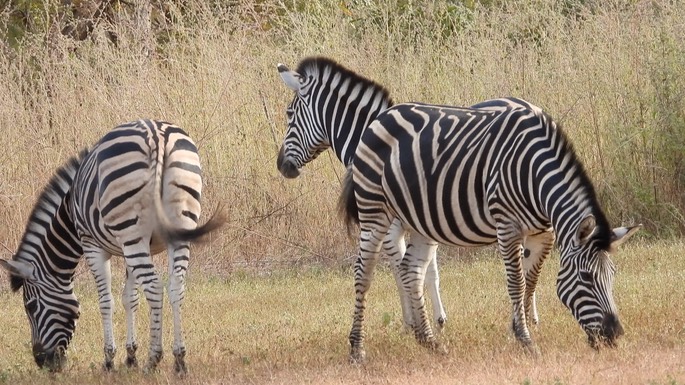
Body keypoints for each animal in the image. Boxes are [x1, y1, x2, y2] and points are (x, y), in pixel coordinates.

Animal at [0, 119, 223, 372]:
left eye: (30, 306)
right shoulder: (132, 248)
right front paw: (130, 356)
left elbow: (106, 301)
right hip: (175, 226)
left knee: (155, 288)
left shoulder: (92, 244)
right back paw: (179, 361)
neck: (69, 213)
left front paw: (109, 359)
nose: (43, 362)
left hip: (131, 230)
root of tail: (156, 135)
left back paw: (153, 360)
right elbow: (130, 298)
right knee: (176, 287)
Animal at [276, 57, 544, 330]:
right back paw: (529, 315)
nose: (281, 165)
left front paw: (412, 322)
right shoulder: (425, 222)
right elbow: (428, 271)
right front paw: (437, 318)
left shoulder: (393, 227)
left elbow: (399, 270)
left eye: (289, 114)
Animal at [340, 94, 644, 362]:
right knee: (364, 272)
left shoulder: (543, 232)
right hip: (374, 210)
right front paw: (526, 341)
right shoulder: (507, 227)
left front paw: (520, 328)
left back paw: (431, 343)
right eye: (586, 277)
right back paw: (357, 349)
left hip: (419, 219)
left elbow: (531, 280)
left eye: (613, 275)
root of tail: (382, 117)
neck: (534, 173)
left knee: (411, 270)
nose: (615, 334)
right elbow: (517, 282)